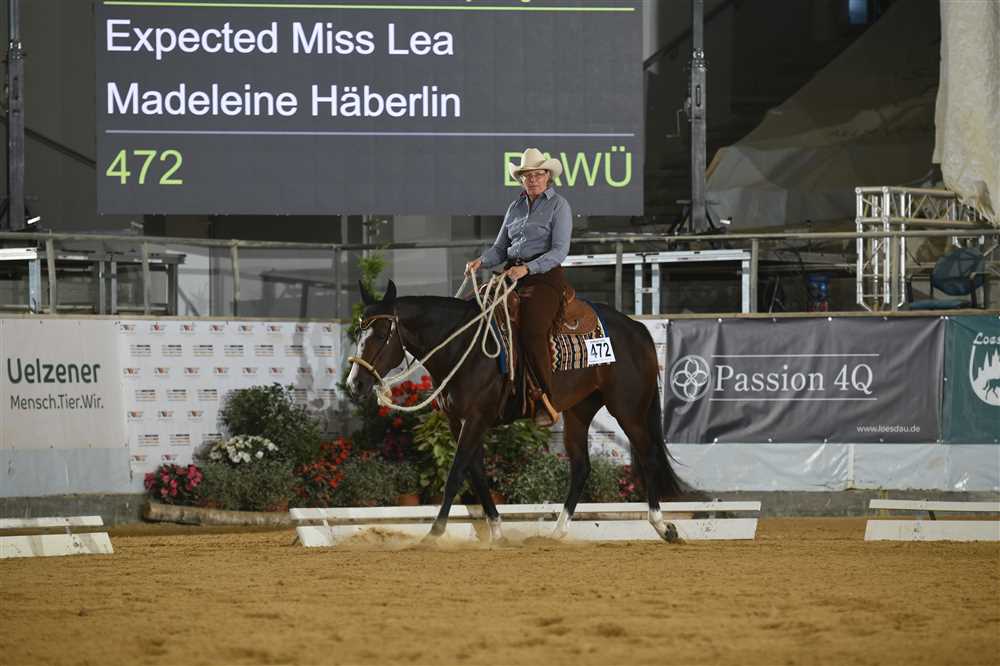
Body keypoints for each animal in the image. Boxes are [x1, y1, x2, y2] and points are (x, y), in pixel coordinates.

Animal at [346, 279, 694, 543]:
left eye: (381, 334)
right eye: (358, 333)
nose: (354, 384)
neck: (464, 346)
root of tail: (637, 329)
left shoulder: (476, 419)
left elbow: (456, 473)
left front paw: (434, 533)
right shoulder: (459, 422)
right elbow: (476, 473)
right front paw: (497, 532)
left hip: (628, 408)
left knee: (647, 456)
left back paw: (663, 526)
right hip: (579, 411)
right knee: (581, 468)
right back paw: (555, 533)